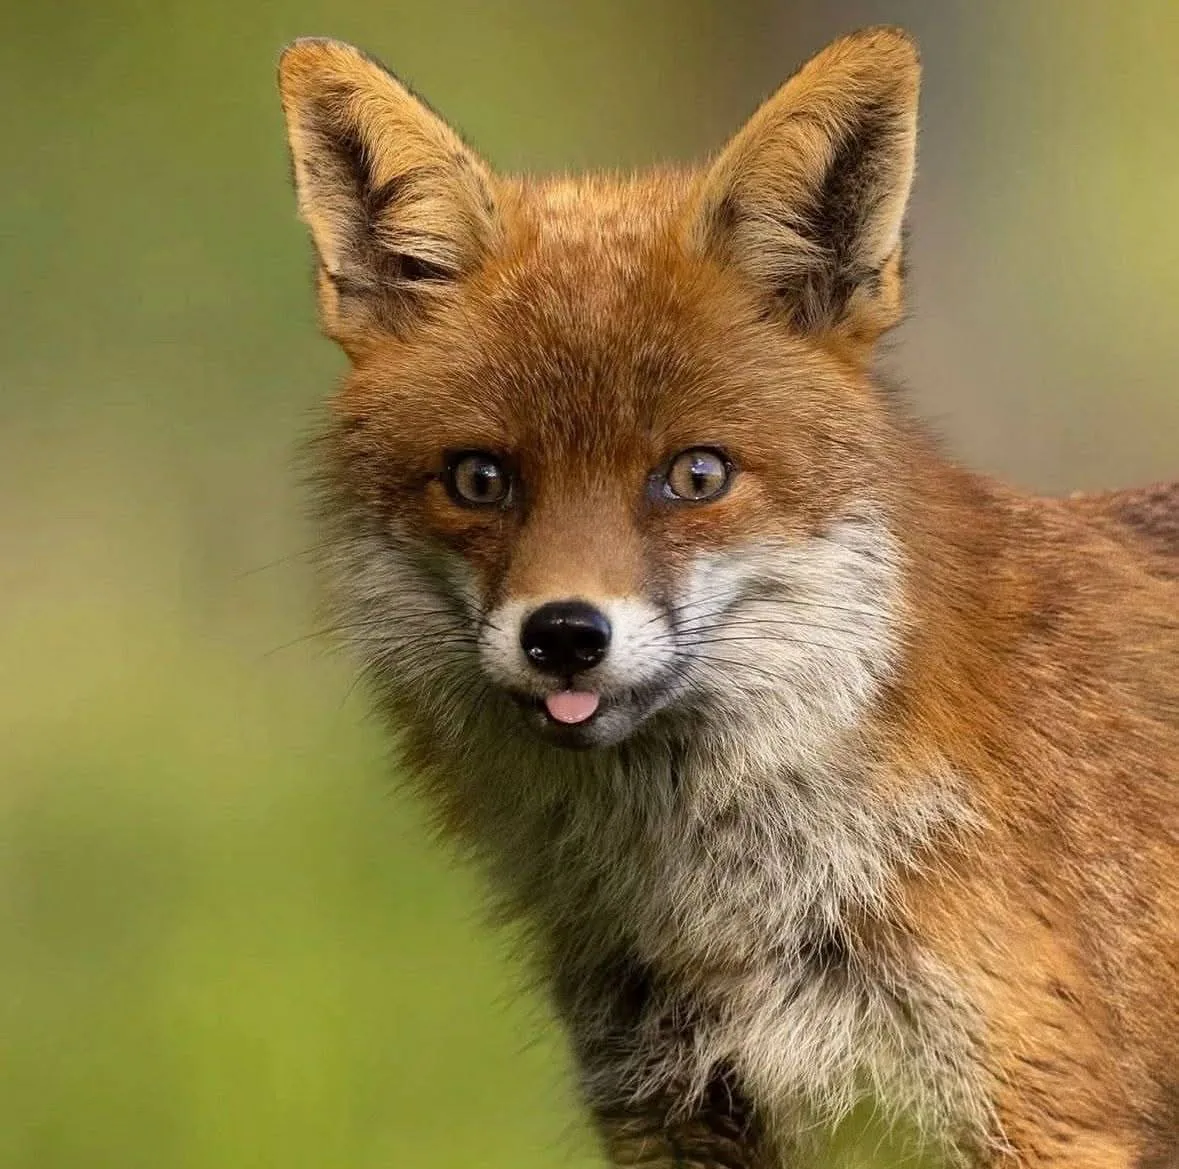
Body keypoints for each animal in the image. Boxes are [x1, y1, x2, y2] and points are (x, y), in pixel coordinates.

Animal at [276, 26, 1179, 1168]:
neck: (731, 925)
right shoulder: (675, 1113)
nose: (563, 635)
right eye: (480, 479)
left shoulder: (1043, 1112)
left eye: (695, 474)